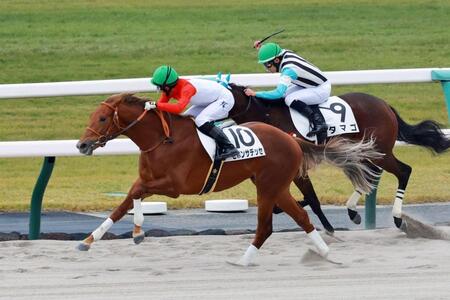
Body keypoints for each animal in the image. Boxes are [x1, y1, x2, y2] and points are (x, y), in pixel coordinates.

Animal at [75, 93, 382, 264]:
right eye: (93, 115)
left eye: (102, 119)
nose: (81, 144)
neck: (162, 139)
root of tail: (292, 138)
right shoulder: (147, 181)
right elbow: (123, 204)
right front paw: (89, 240)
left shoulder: (175, 186)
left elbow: (136, 195)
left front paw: (137, 232)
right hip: (276, 186)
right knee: (301, 217)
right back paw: (325, 254)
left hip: (268, 188)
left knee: (266, 227)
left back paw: (242, 262)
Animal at [229, 83, 450, 233]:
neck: (267, 116)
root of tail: (385, 105)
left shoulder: (298, 165)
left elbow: (311, 197)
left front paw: (327, 226)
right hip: (364, 150)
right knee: (371, 173)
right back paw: (353, 211)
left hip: (380, 150)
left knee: (403, 171)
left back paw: (396, 217)